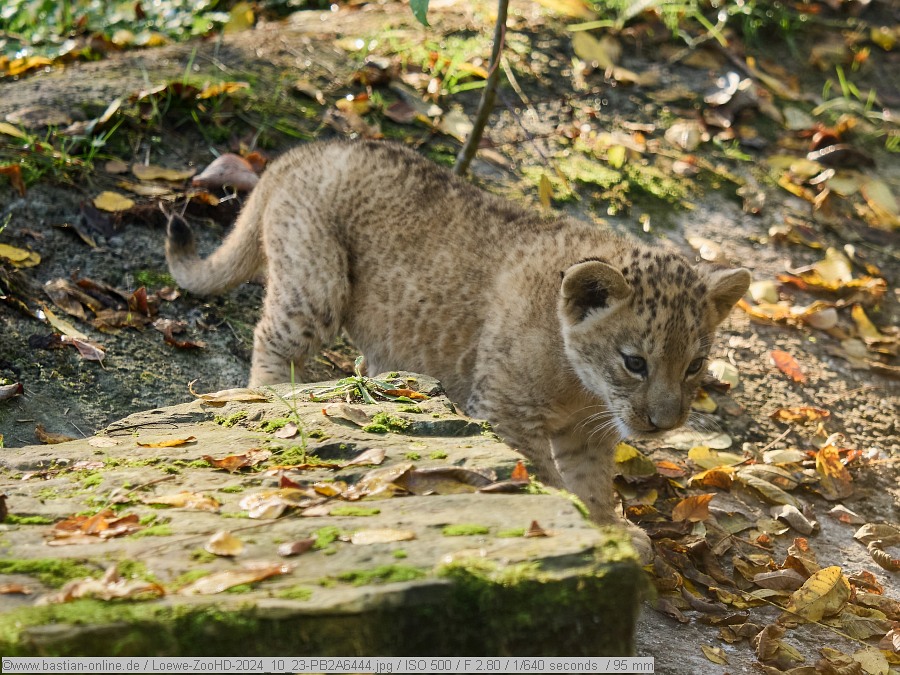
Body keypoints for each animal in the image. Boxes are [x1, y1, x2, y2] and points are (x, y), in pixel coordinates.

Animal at [166, 140, 750, 559]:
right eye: (635, 363)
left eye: (695, 365)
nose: (664, 423)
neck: (584, 388)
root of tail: (299, 153)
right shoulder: (506, 411)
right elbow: (545, 478)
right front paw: (584, 528)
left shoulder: (586, 433)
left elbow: (591, 483)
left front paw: (609, 530)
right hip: (315, 280)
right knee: (273, 339)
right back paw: (273, 399)